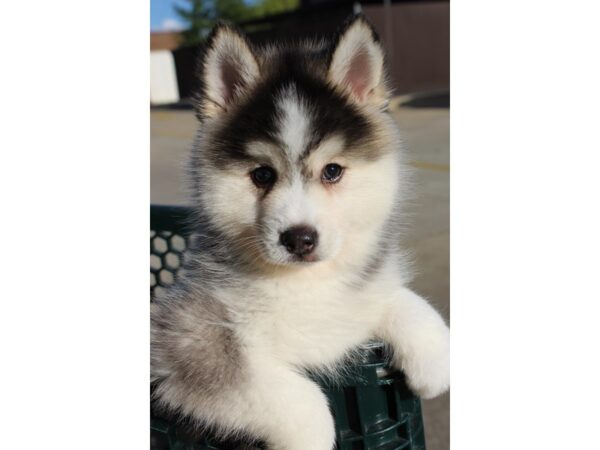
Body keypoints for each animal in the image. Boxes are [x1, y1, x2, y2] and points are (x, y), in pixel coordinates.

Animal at [152, 14, 448, 450]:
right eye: (262, 174)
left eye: (332, 171)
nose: (298, 239)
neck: (304, 285)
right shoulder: (184, 340)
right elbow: (296, 396)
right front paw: (312, 433)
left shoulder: (351, 311)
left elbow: (396, 296)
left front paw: (434, 356)